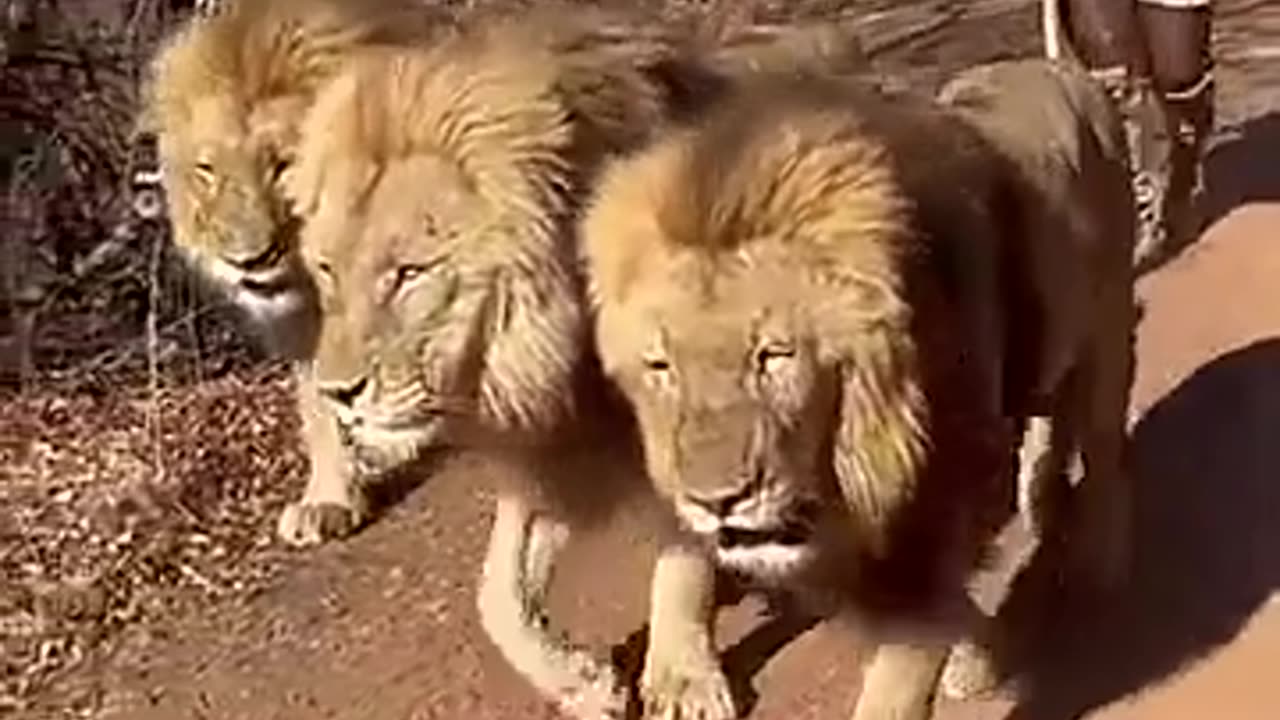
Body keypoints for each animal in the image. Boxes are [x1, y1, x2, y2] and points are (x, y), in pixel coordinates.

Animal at [282, 6, 875, 717]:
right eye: (325, 269)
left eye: (409, 273)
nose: (337, 391)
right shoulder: (559, 451)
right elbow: (496, 593)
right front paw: (583, 683)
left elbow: (682, 562)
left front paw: (682, 677)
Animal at [581, 59, 1137, 720]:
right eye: (661, 365)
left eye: (775, 355)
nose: (719, 499)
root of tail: (1062, 68)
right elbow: (685, 556)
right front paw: (682, 677)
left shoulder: (949, 490)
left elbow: (908, 654)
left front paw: (969, 659)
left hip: (1109, 328)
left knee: (1102, 447)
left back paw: (1097, 557)